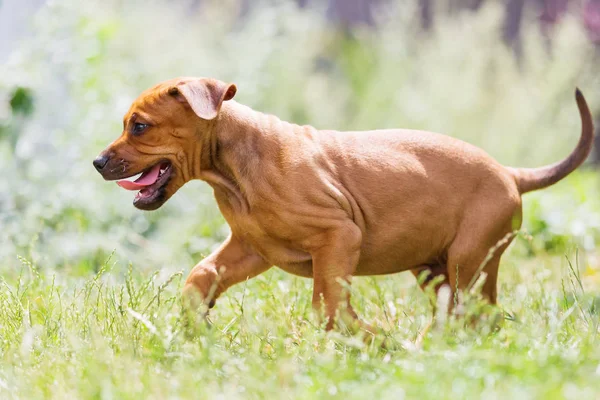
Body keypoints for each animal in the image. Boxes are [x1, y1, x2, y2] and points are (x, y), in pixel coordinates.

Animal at [95, 77, 596, 332]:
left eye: (139, 126)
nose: (98, 162)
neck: (234, 173)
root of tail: (510, 172)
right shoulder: (251, 249)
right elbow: (200, 275)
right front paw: (193, 323)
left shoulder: (337, 238)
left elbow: (326, 302)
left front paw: (362, 338)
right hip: (437, 269)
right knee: (474, 315)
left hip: (467, 261)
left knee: (474, 313)